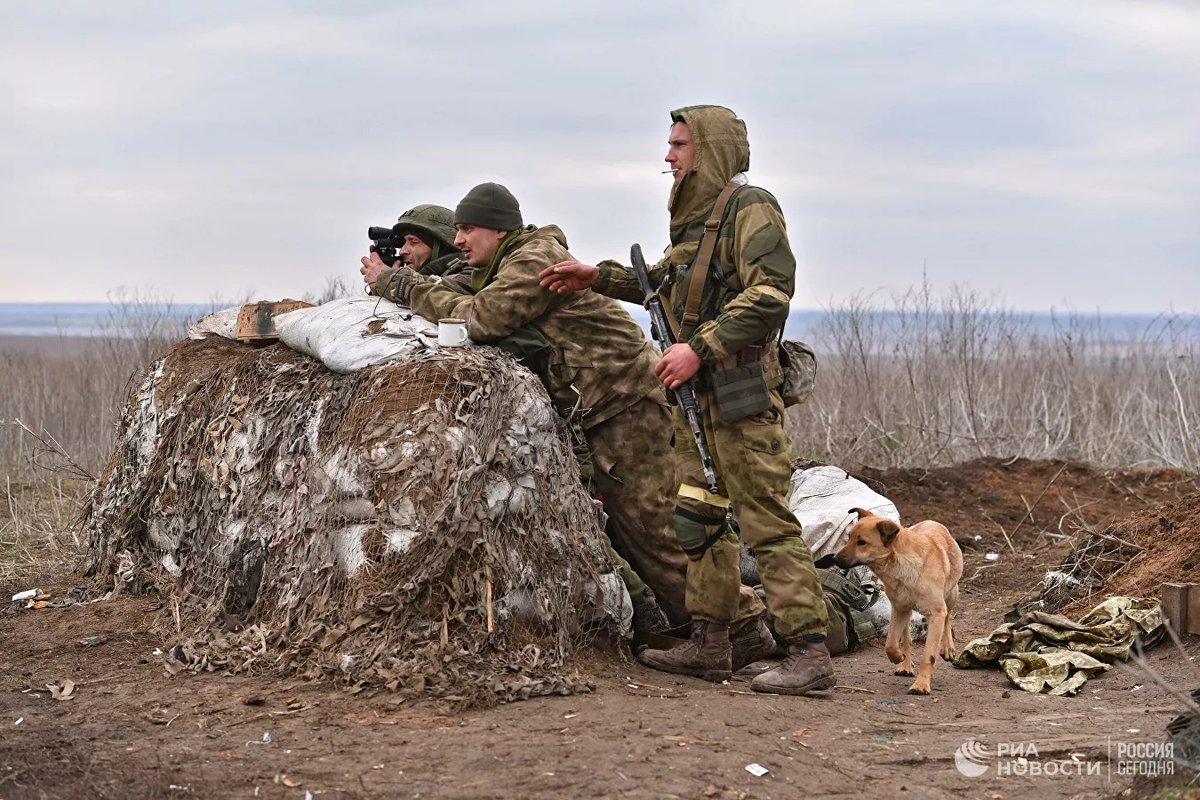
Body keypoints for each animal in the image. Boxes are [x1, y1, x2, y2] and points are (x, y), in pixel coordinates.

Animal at [835, 513, 964, 695]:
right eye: (849, 538)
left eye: (861, 542)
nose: (834, 559)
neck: (903, 564)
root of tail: (931, 521)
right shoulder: (899, 609)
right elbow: (890, 644)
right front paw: (898, 657)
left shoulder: (936, 613)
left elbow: (928, 655)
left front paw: (921, 685)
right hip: (906, 611)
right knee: (906, 639)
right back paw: (906, 665)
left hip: (951, 595)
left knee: (948, 618)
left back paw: (947, 648)